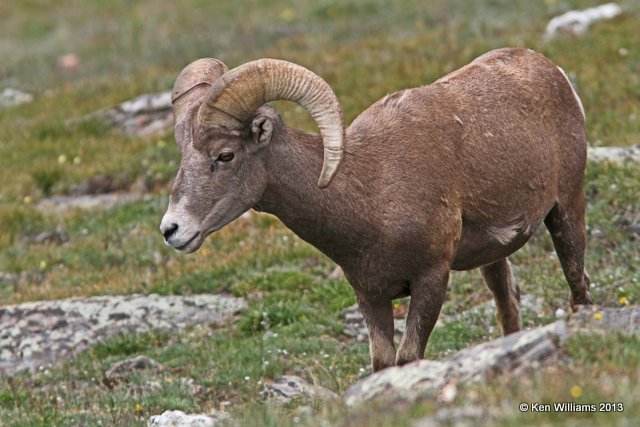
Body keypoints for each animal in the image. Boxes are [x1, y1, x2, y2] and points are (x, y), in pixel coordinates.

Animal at [162, 49, 592, 372]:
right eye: (183, 155)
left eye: (225, 155)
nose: (172, 230)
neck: (370, 195)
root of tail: (547, 68)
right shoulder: (370, 295)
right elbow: (383, 363)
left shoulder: (431, 280)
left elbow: (408, 357)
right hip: (494, 257)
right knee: (508, 306)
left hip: (566, 210)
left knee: (578, 286)